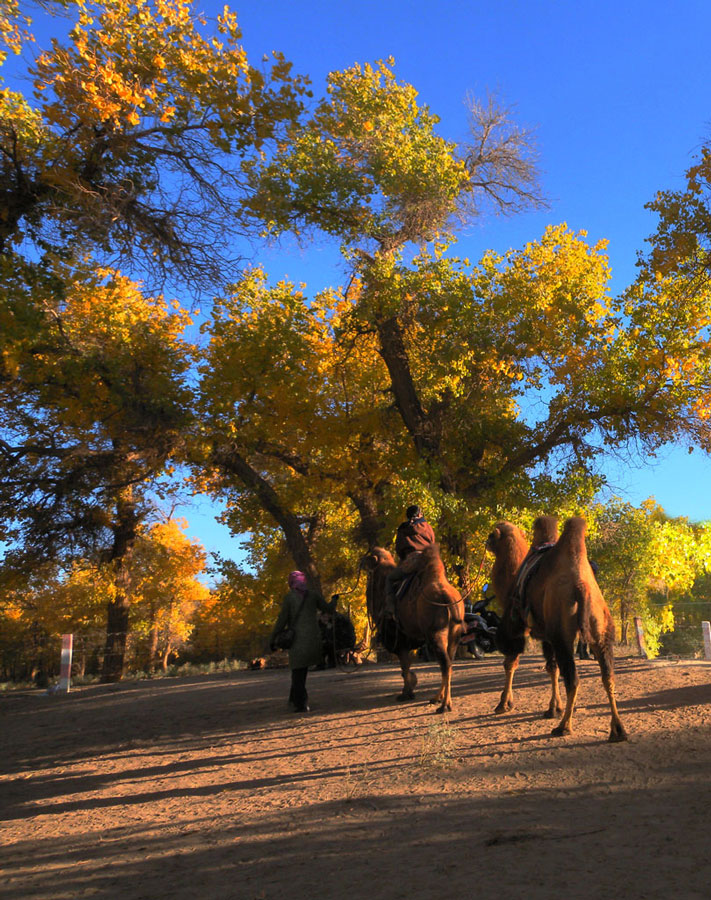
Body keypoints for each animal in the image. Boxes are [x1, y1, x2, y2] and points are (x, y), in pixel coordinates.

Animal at [362, 544, 468, 712]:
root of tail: (448, 599)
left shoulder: (399, 640)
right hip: (454, 635)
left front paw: (406, 693)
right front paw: (411, 687)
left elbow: (404, 666)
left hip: (436, 634)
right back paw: (437, 698)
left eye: (368, 557)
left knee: (445, 664)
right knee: (449, 663)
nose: (361, 563)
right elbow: (406, 666)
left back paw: (444, 704)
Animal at [484, 516, 628, 740]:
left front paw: (503, 704)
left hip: (562, 633)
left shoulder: (518, 626)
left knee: (573, 679)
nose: (486, 542)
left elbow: (510, 662)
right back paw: (618, 730)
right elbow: (552, 669)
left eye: (492, 534)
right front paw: (554, 708)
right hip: (601, 627)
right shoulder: (546, 635)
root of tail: (581, 586)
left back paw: (563, 727)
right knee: (608, 675)